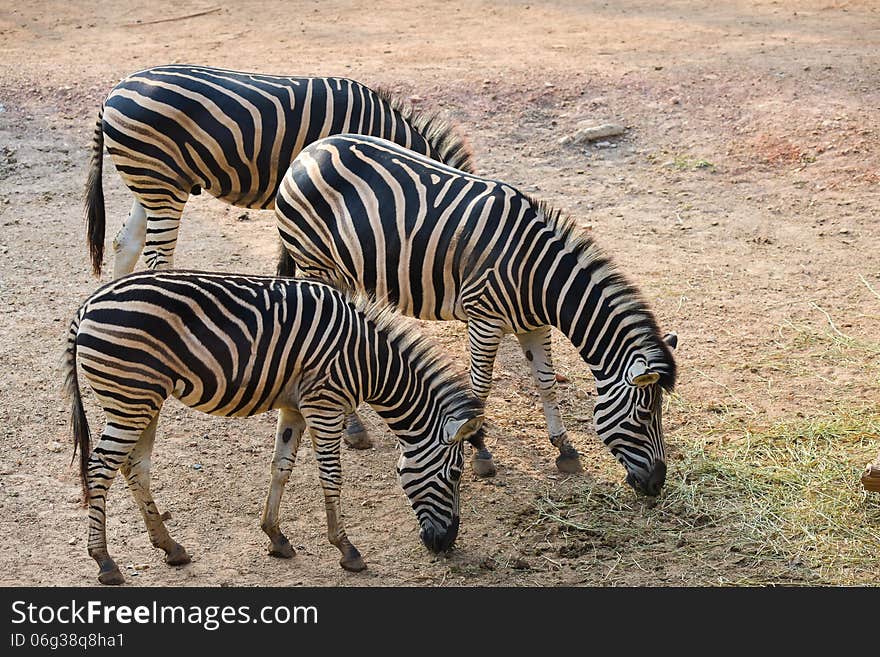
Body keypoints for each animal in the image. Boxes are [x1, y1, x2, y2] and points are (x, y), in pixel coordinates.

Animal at [65, 270, 484, 584]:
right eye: (455, 474)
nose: (446, 543)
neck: (369, 361)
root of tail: (88, 305)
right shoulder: (324, 403)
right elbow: (331, 476)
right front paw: (346, 549)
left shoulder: (294, 407)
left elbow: (281, 467)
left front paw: (276, 537)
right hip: (131, 397)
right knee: (99, 468)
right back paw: (105, 561)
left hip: (142, 400)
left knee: (134, 467)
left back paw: (170, 547)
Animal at [276, 133, 680, 492]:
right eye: (645, 415)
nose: (656, 485)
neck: (538, 274)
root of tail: (310, 150)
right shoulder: (484, 320)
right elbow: (479, 387)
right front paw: (482, 452)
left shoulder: (534, 326)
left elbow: (546, 383)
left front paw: (565, 448)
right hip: (317, 264)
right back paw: (354, 429)